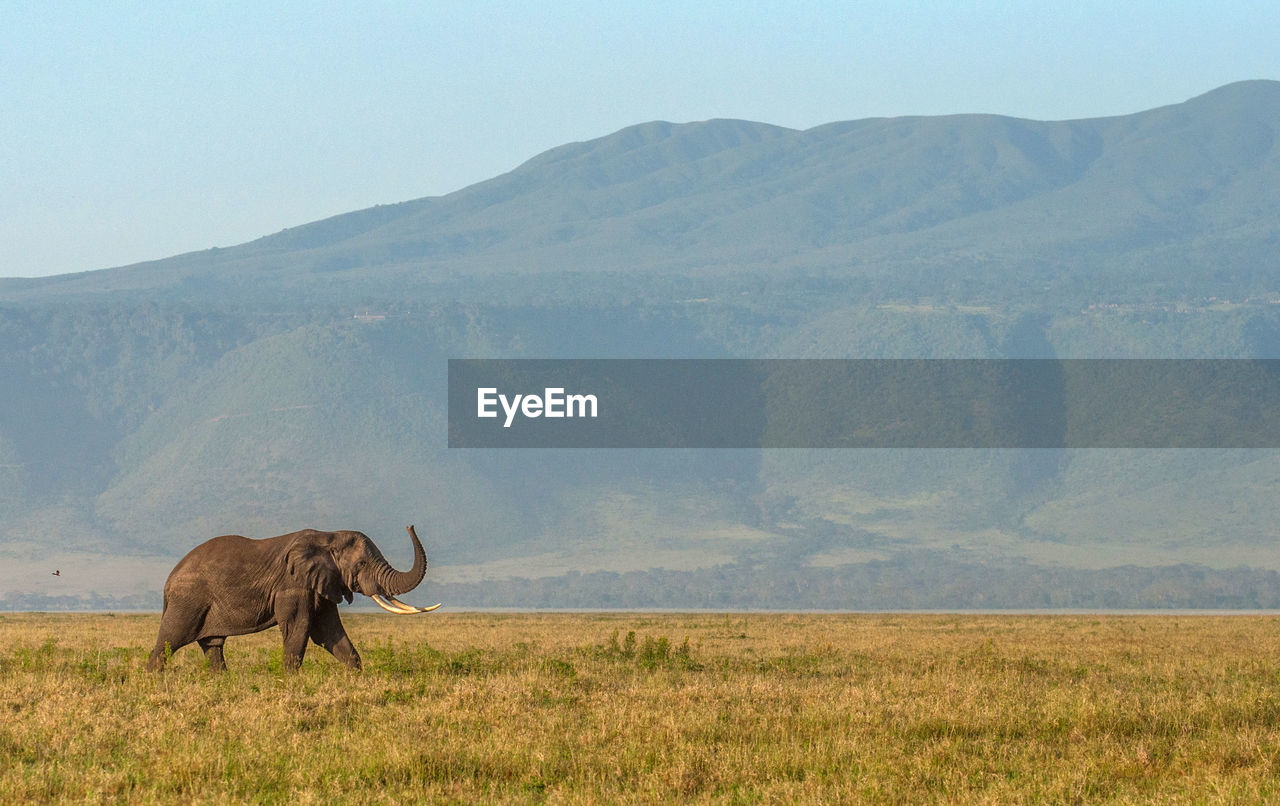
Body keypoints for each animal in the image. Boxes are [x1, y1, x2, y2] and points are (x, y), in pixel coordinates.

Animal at [146, 527, 440, 670]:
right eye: (362, 564)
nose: (410, 525)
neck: (328, 536)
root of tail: (168, 580)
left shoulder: (322, 584)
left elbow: (329, 633)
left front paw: (356, 676)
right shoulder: (292, 585)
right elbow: (299, 628)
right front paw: (290, 680)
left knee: (213, 646)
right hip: (188, 601)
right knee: (169, 642)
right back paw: (154, 681)